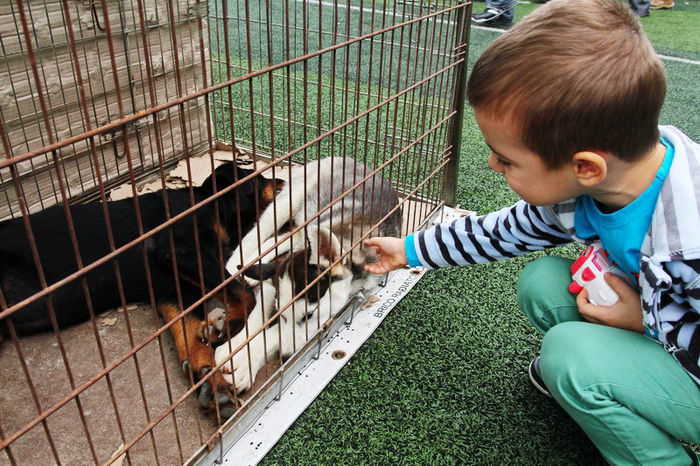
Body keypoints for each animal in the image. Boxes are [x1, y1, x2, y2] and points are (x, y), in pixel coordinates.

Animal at [1, 162, 284, 414]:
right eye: (261, 177)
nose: (285, 178)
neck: (208, 202)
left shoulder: (174, 292)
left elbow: (191, 337)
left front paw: (213, 383)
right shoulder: (180, 248)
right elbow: (244, 294)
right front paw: (224, 327)